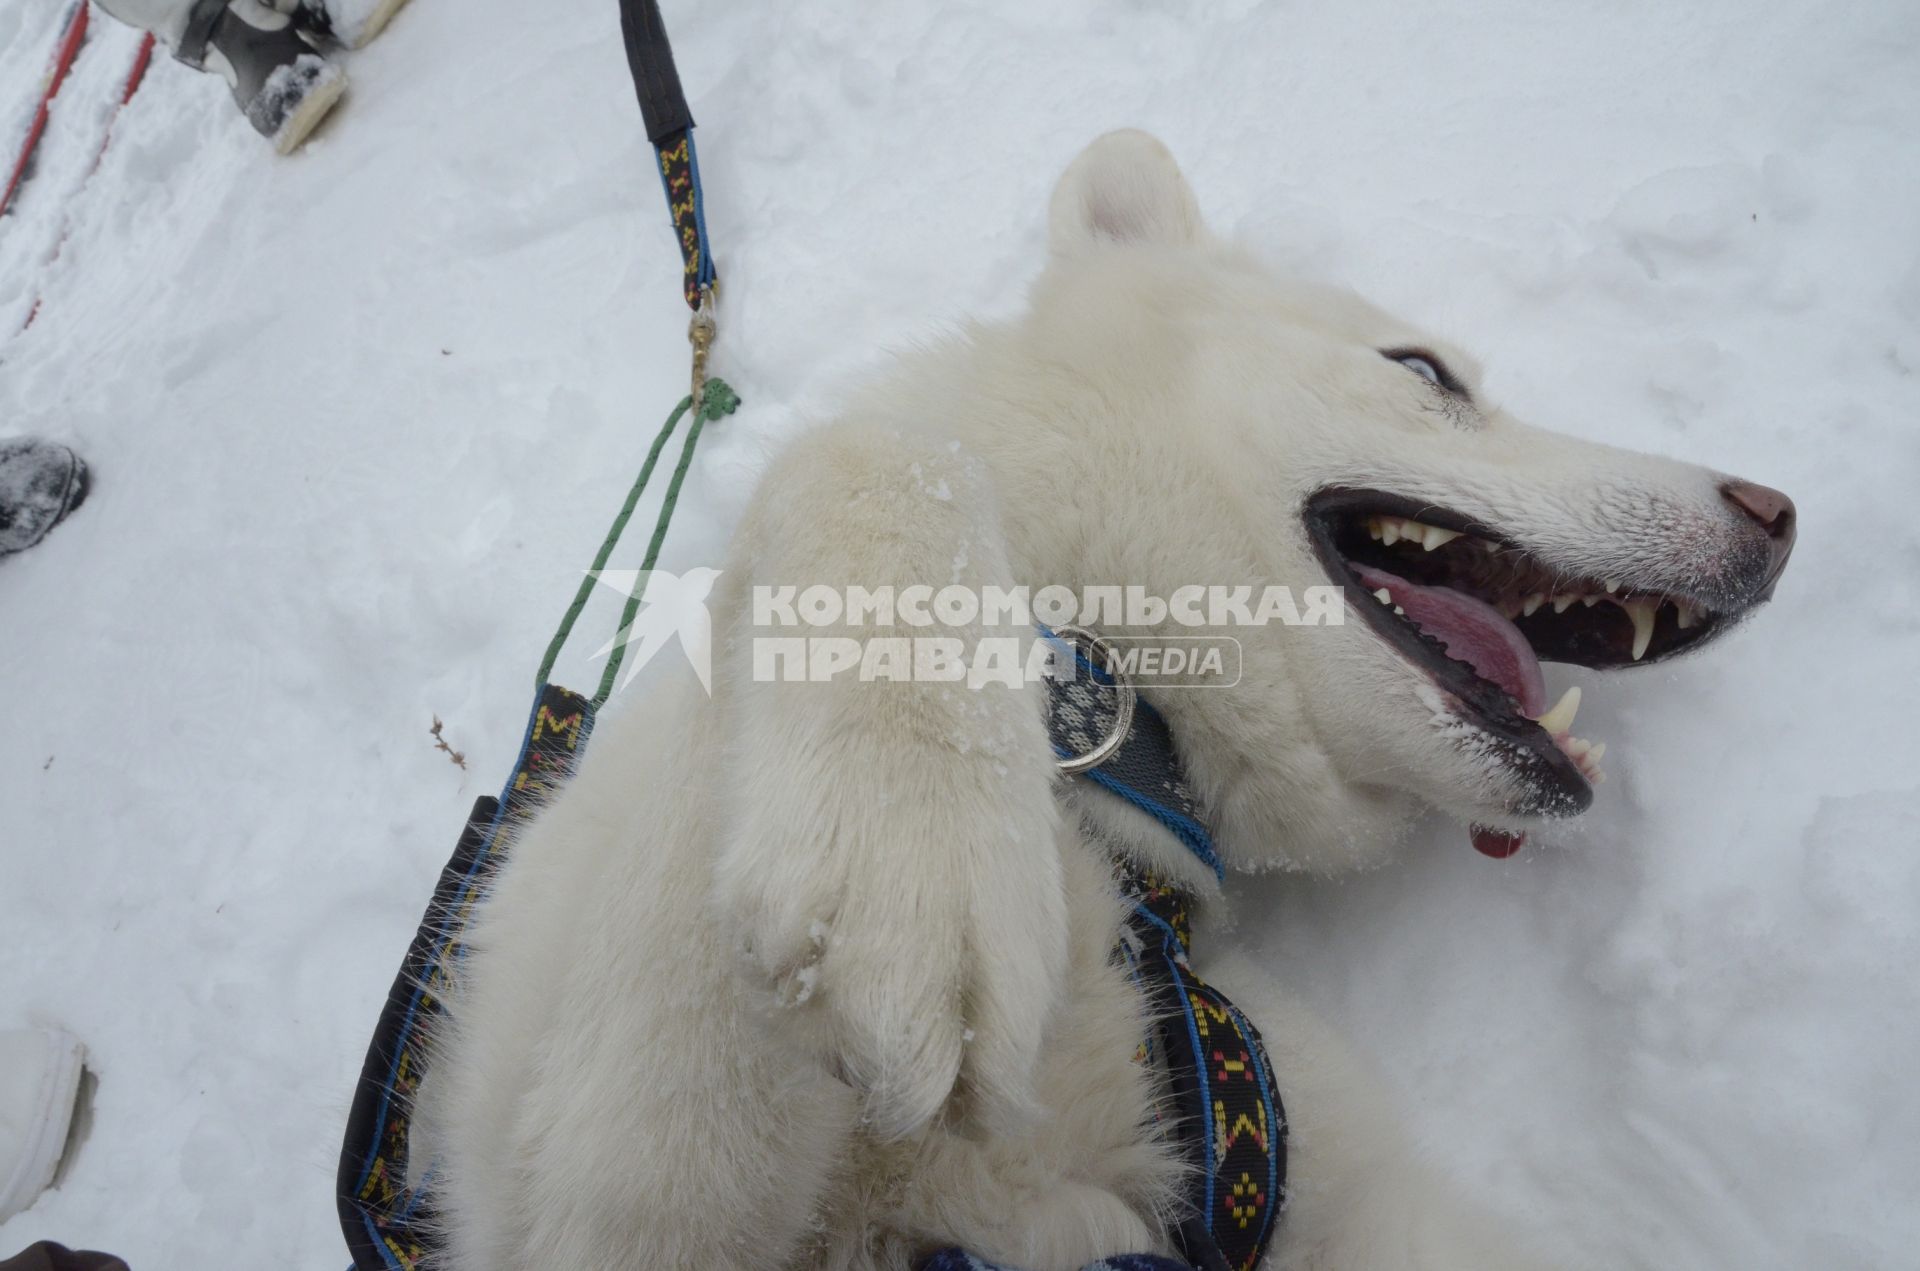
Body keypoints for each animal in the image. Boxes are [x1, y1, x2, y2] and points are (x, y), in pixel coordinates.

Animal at [416, 131, 1781, 1271]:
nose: (1776, 517)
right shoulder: (587, 1196)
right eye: (1424, 370)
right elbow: (873, 455)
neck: (1109, 725)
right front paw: (915, 848)